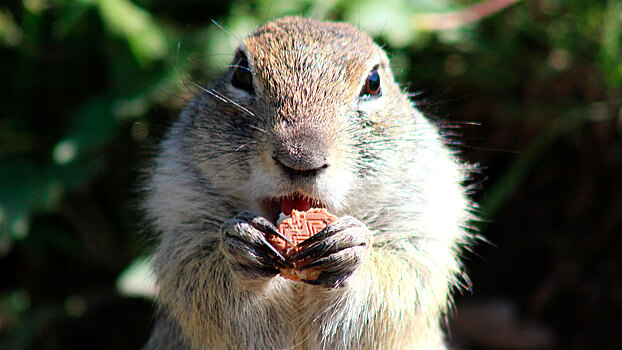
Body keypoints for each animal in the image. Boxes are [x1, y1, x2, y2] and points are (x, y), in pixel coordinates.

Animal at [140, 15, 472, 348]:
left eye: (374, 83)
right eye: (241, 73)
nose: (300, 159)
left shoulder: (420, 223)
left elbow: (396, 284)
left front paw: (352, 247)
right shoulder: (184, 219)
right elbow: (202, 281)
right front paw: (240, 243)